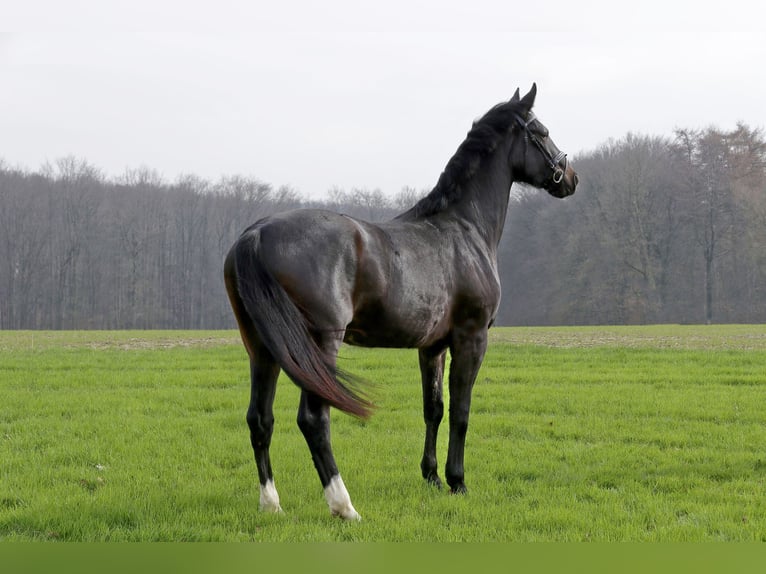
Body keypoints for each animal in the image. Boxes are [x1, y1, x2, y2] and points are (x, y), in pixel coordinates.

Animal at [225, 84, 580, 520]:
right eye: (542, 132)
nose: (572, 178)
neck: (464, 227)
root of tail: (256, 235)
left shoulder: (432, 347)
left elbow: (435, 408)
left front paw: (432, 477)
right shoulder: (471, 338)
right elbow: (461, 411)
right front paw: (458, 481)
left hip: (263, 348)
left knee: (260, 418)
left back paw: (271, 503)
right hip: (319, 344)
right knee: (314, 419)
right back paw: (344, 506)